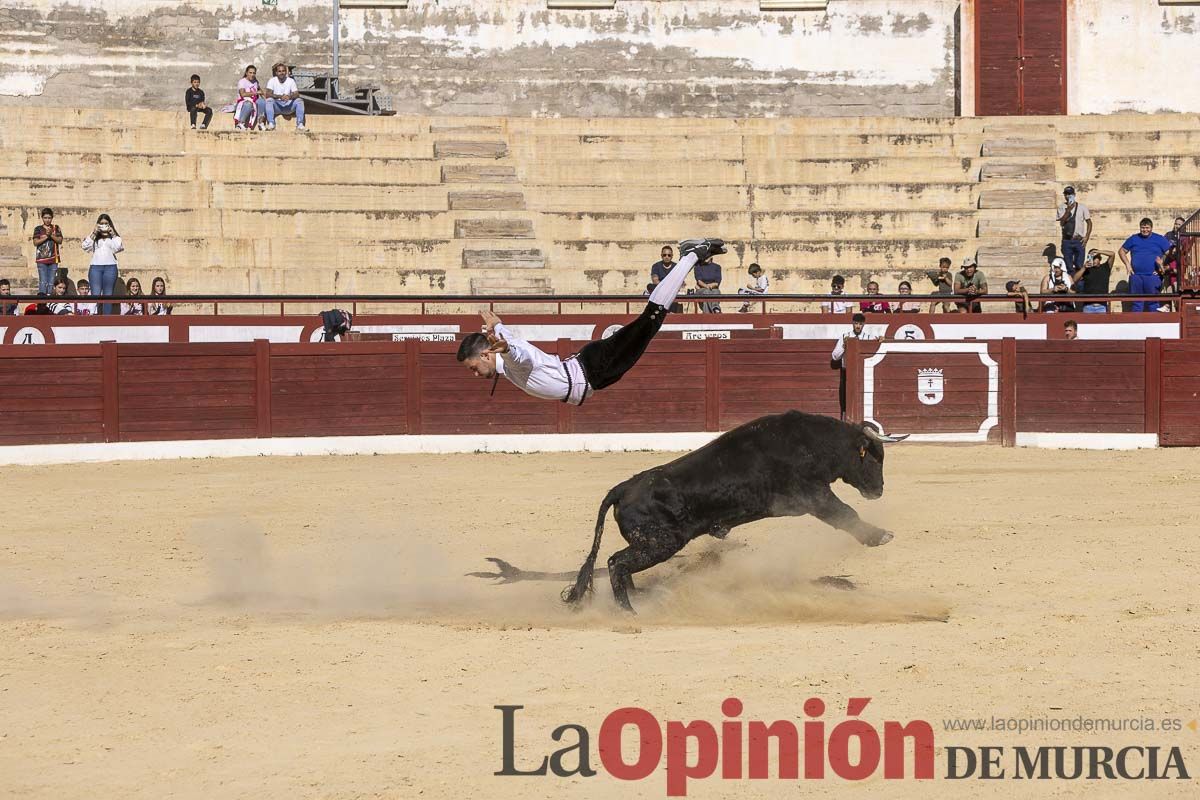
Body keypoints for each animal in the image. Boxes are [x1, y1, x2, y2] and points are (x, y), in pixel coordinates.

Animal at [561, 412, 907, 614]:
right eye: (874, 458)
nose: (878, 490)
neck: (812, 442)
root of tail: (622, 487)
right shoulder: (813, 496)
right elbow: (845, 513)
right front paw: (880, 536)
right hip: (660, 542)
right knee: (616, 563)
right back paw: (629, 611)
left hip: (651, 543)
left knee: (622, 566)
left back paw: (641, 599)